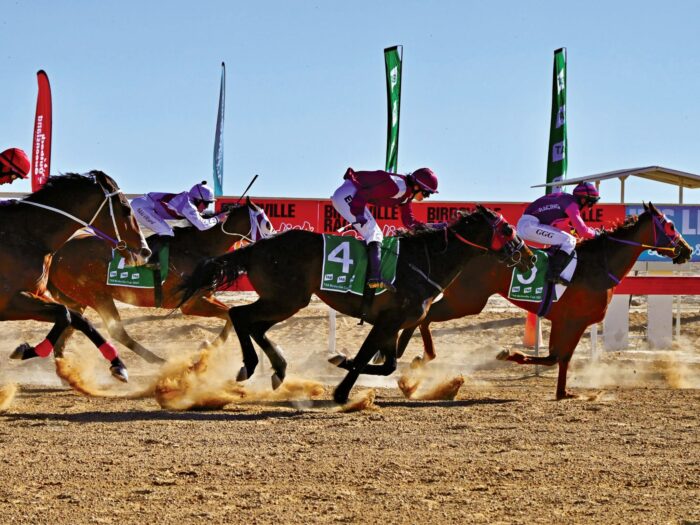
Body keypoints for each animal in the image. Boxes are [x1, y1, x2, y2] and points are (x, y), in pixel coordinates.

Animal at [1, 172, 150, 380]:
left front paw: (118, 364)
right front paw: (29, 350)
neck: (28, 236)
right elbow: (65, 315)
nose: (145, 251)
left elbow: (76, 318)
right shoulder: (9, 302)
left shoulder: (34, 295)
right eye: (126, 209)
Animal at [47, 198, 274, 364]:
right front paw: (206, 347)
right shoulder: (190, 303)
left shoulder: (203, 296)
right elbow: (229, 315)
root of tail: (57, 254)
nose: (273, 240)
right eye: (266, 222)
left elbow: (229, 315)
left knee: (72, 323)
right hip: (97, 295)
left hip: (79, 298)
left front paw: (207, 346)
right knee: (116, 330)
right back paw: (158, 361)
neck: (197, 248)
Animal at [179, 205, 536, 402]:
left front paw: (342, 363)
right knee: (240, 315)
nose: (529, 256)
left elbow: (387, 363)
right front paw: (340, 386)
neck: (426, 261)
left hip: (285, 300)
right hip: (286, 299)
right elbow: (367, 356)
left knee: (254, 325)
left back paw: (278, 368)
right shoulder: (388, 321)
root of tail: (257, 247)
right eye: (508, 228)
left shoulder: (393, 324)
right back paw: (252, 366)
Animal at [396, 203, 692, 400]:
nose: (687, 249)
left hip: (464, 300)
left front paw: (563, 393)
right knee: (426, 316)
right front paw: (509, 354)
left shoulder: (570, 322)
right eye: (670, 225)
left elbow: (558, 358)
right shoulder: (572, 321)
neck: (598, 265)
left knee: (424, 316)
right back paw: (414, 362)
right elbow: (555, 357)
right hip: (467, 300)